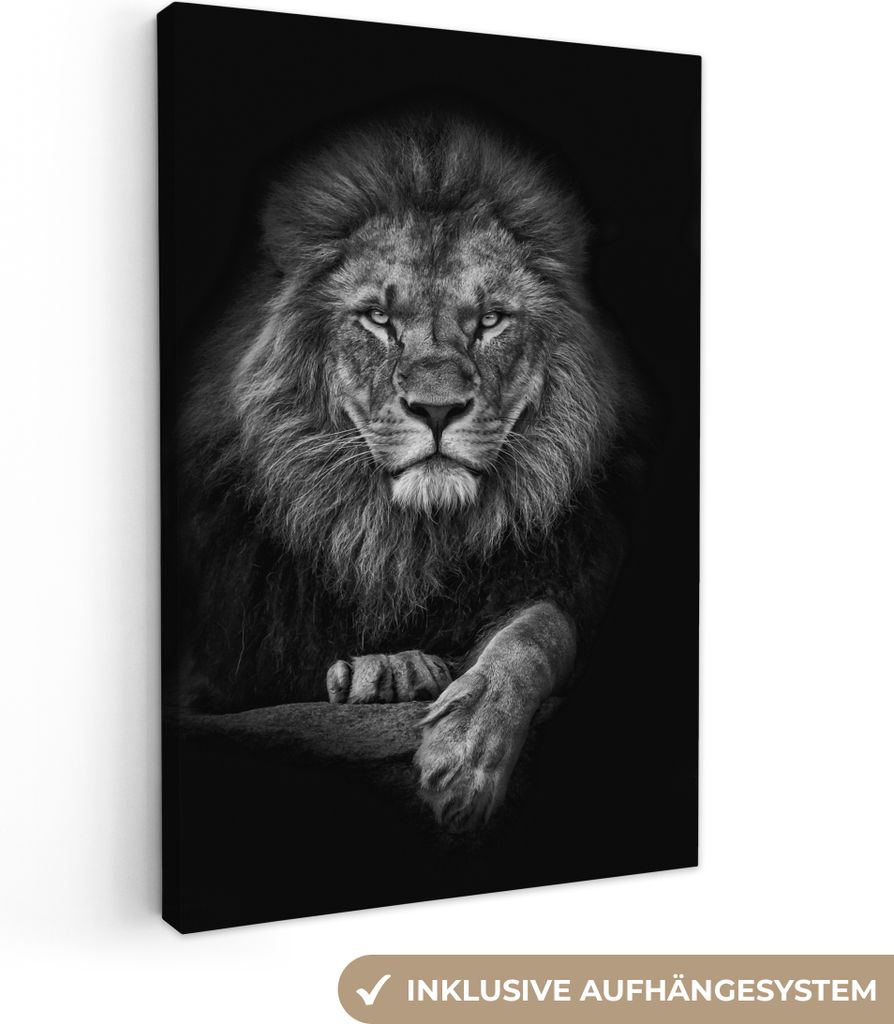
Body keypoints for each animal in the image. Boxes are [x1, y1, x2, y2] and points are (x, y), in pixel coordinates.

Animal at [177, 111, 645, 832]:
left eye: (490, 320)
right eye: (378, 318)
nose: (437, 408)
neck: (404, 541)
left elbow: (537, 631)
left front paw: (466, 748)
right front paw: (388, 672)